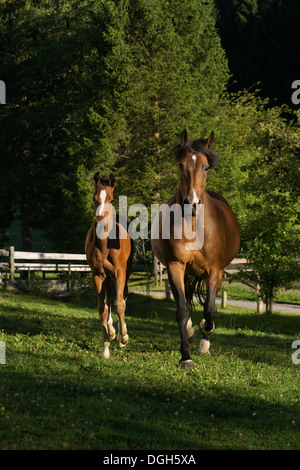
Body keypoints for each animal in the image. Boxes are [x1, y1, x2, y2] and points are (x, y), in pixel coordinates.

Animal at [85, 173, 133, 360]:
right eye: (94, 198)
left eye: (111, 199)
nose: (100, 222)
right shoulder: (97, 274)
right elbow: (102, 309)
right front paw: (105, 348)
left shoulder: (120, 273)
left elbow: (120, 304)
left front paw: (124, 337)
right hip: (106, 277)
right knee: (108, 299)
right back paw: (112, 333)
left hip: (124, 274)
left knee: (122, 297)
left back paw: (120, 337)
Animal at [151, 130, 240, 370]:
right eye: (180, 165)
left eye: (206, 167)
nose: (191, 203)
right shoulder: (175, 267)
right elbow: (182, 310)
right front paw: (186, 356)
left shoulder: (214, 270)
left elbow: (210, 310)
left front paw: (204, 332)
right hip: (184, 272)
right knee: (186, 297)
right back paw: (191, 334)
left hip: (216, 273)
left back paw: (203, 340)